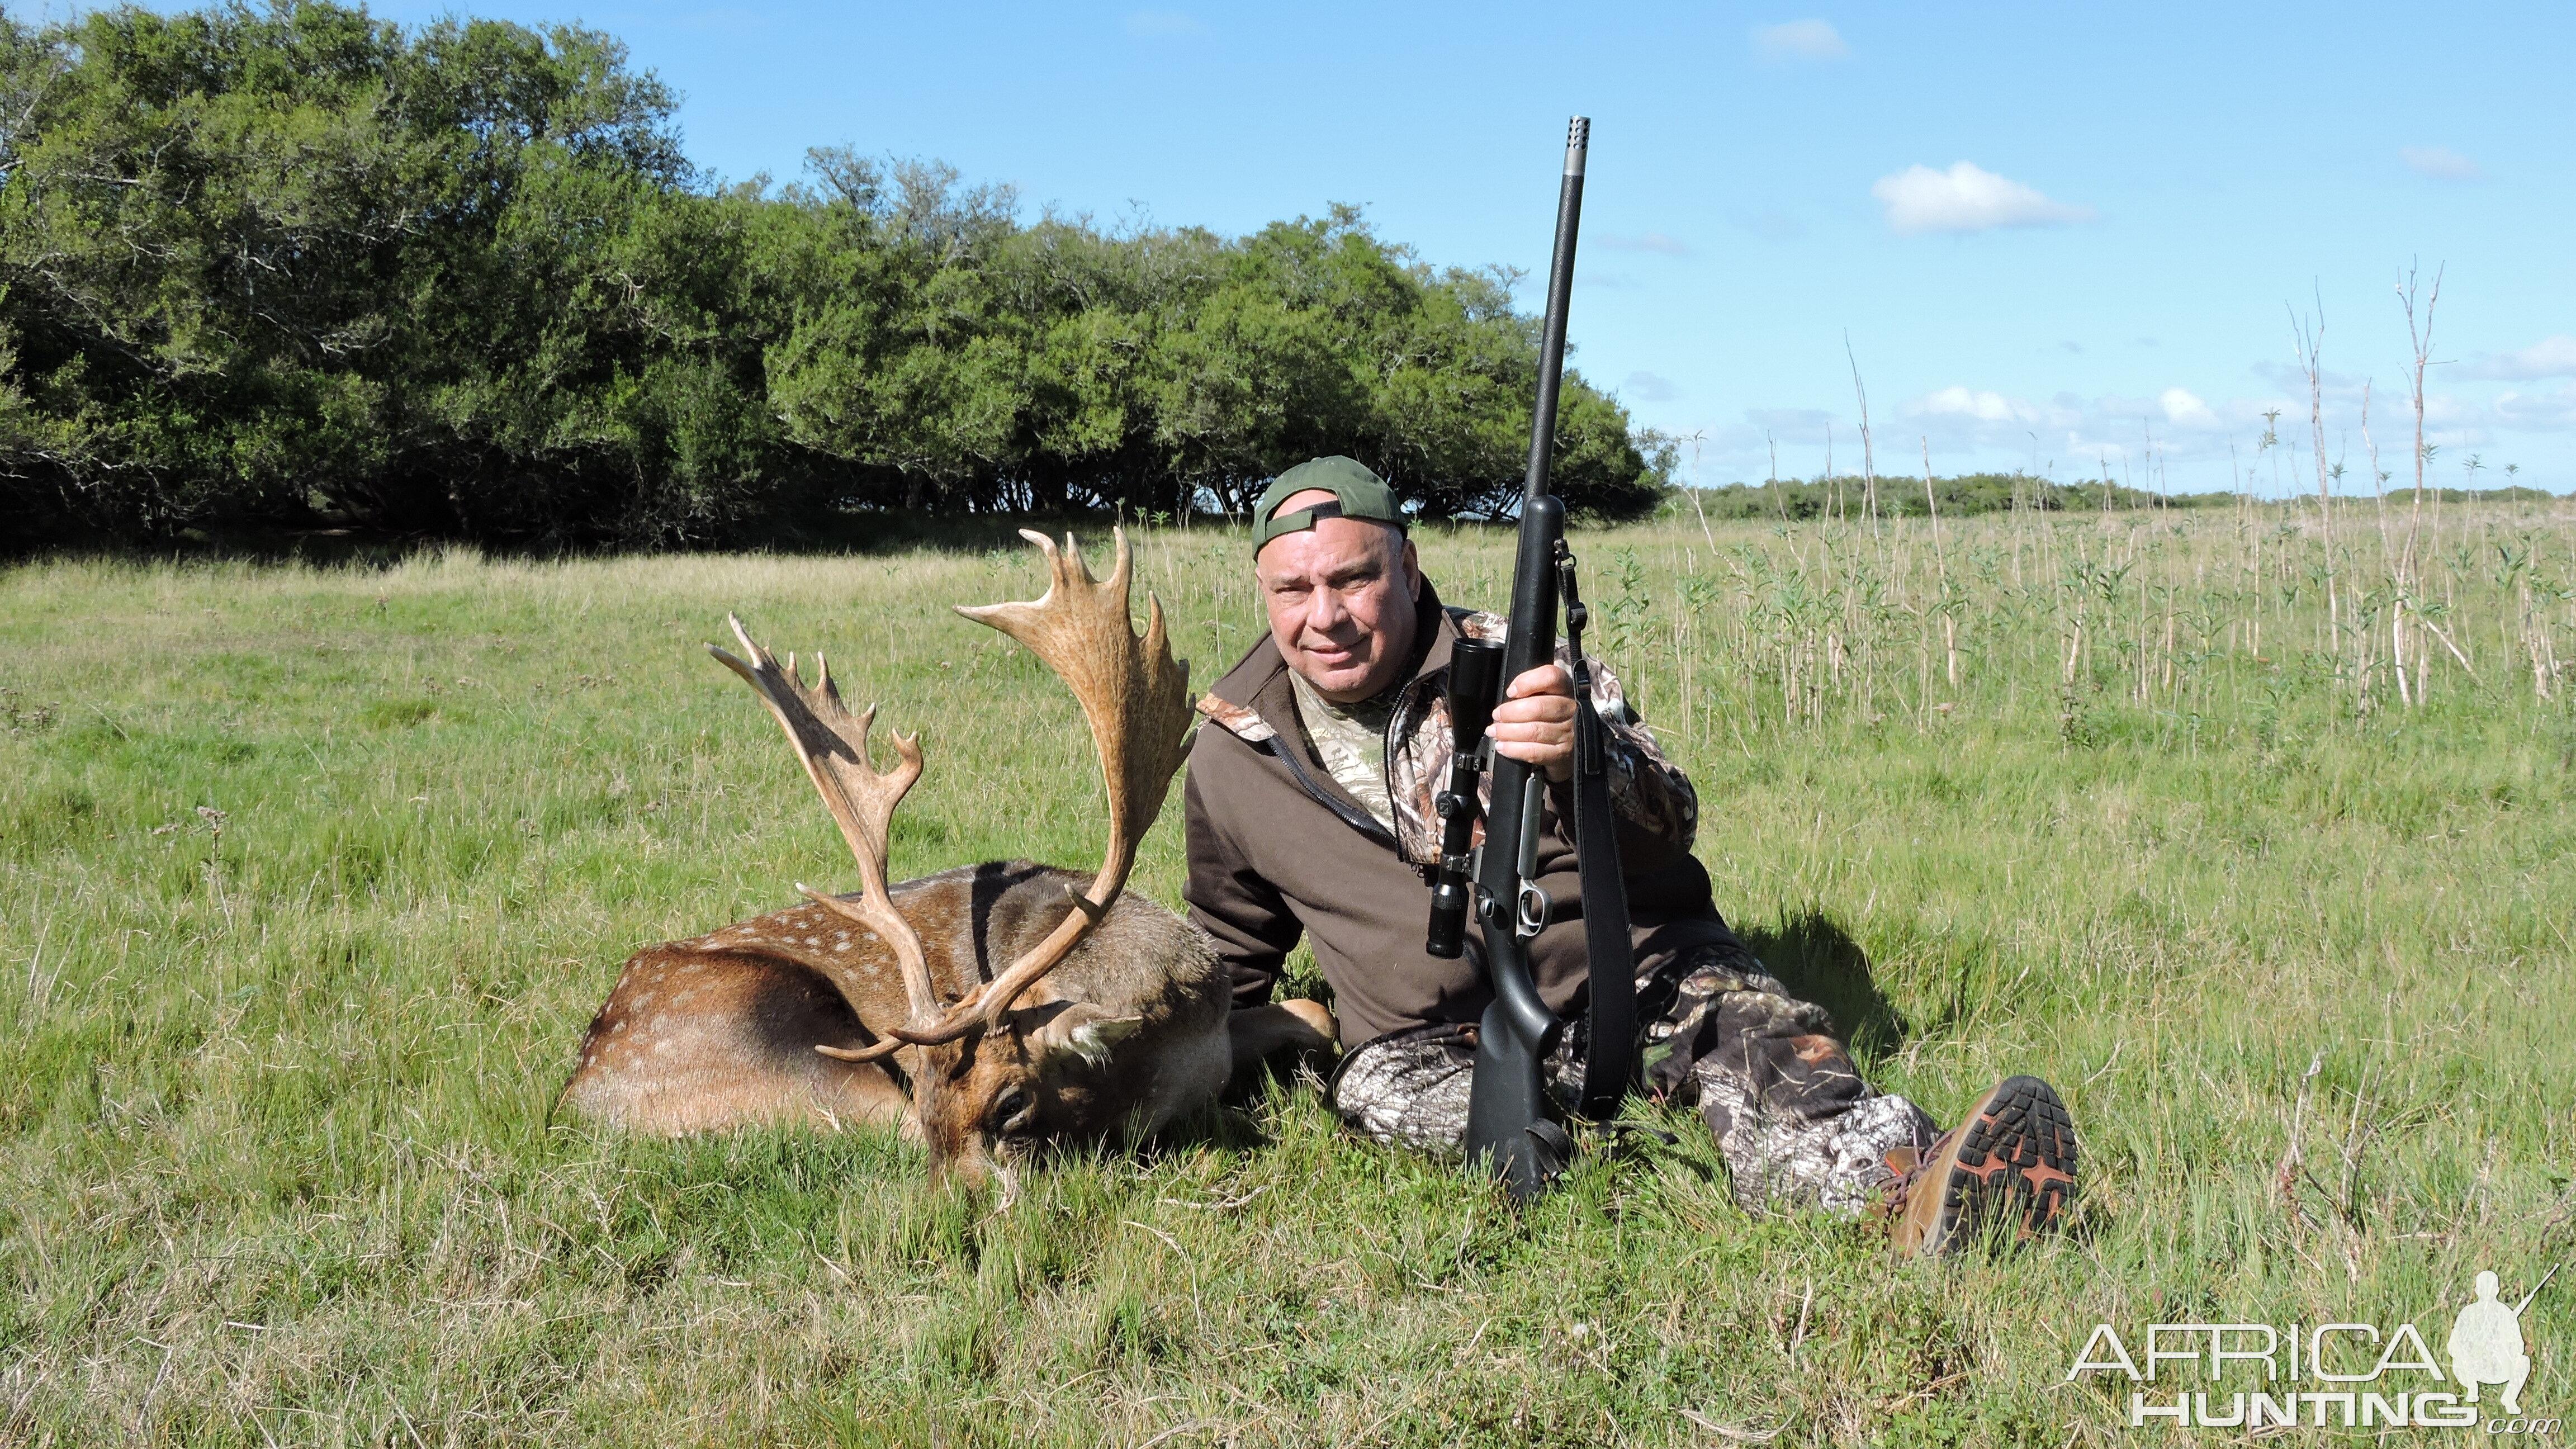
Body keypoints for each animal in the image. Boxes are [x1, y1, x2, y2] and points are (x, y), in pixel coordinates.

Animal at [558, 523, 1329, 1181]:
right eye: (932, 1098)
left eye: (1012, 1103)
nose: (950, 1212)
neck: (1171, 1051)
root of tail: (575, 1096)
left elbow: (1314, 1016)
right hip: (781, 1043)